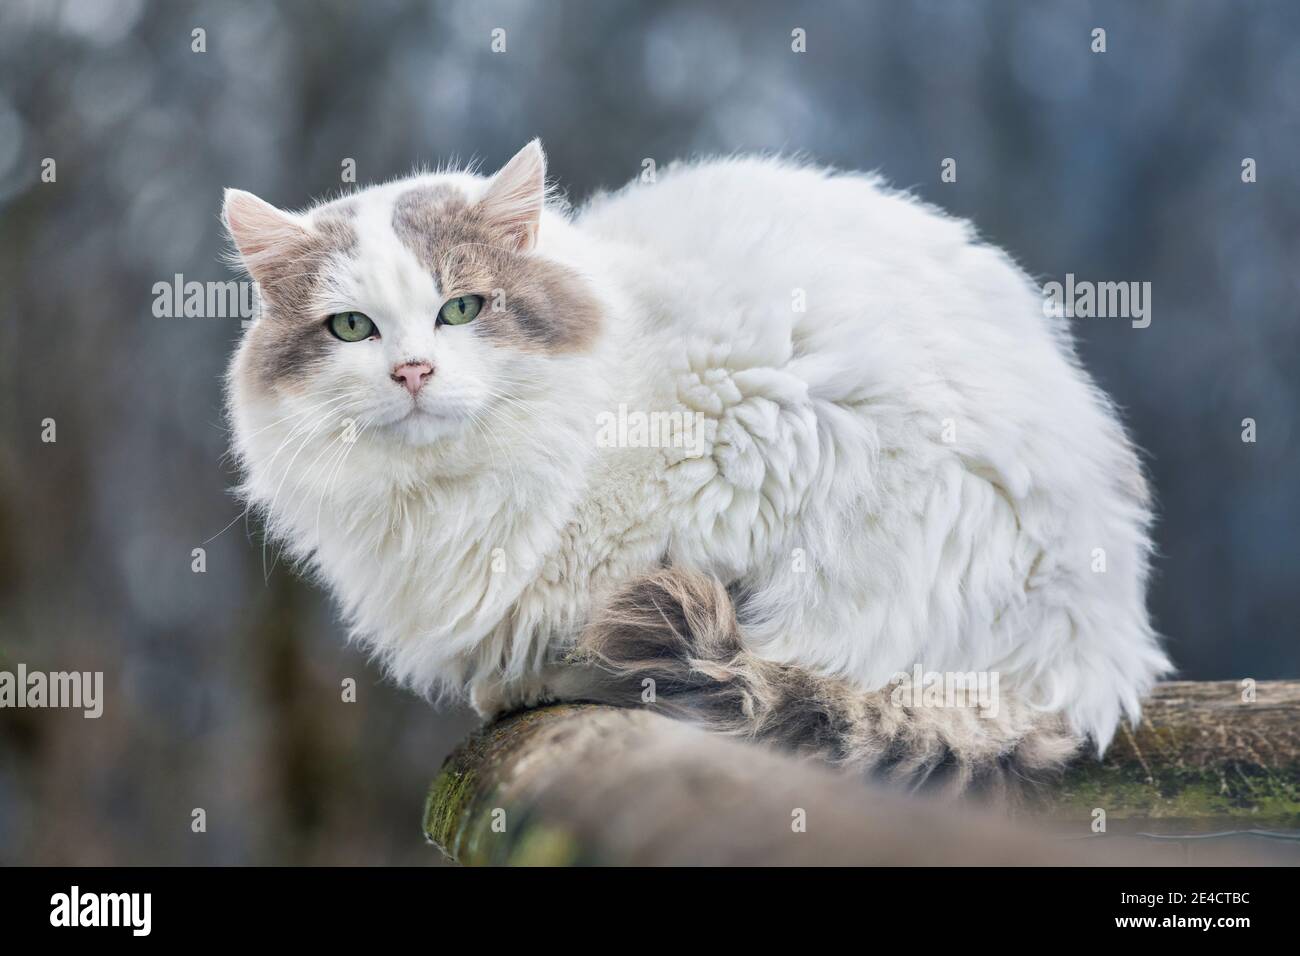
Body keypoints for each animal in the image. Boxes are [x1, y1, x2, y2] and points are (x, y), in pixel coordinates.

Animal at [223, 140, 1170, 801]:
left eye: (461, 309)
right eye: (353, 328)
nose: (413, 372)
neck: (451, 492)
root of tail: (1097, 649)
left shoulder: (740, 448)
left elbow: (626, 641)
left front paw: (533, 677)